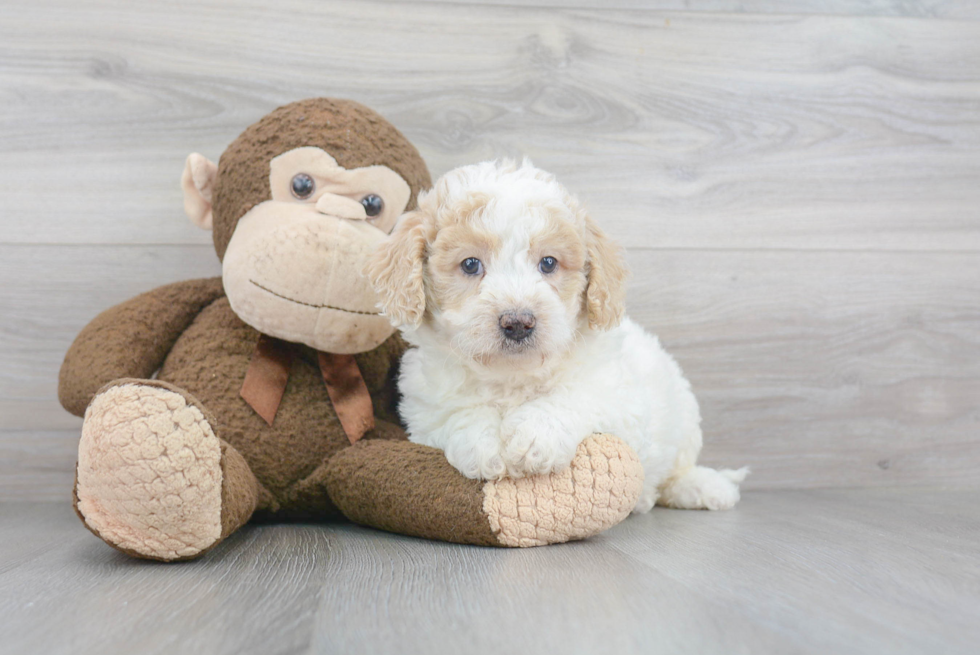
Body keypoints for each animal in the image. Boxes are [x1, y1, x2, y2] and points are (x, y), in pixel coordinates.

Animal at [366, 159, 744, 512]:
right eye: (471, 265)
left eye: (548, 263)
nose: (518, 322)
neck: (511, 378)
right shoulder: (425, 408)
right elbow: (458, 413)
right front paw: (484, 445)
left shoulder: (616, 396)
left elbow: (572, 396)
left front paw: (535, 438)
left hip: (684, 415)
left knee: (679, 469)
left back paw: (703, 487)